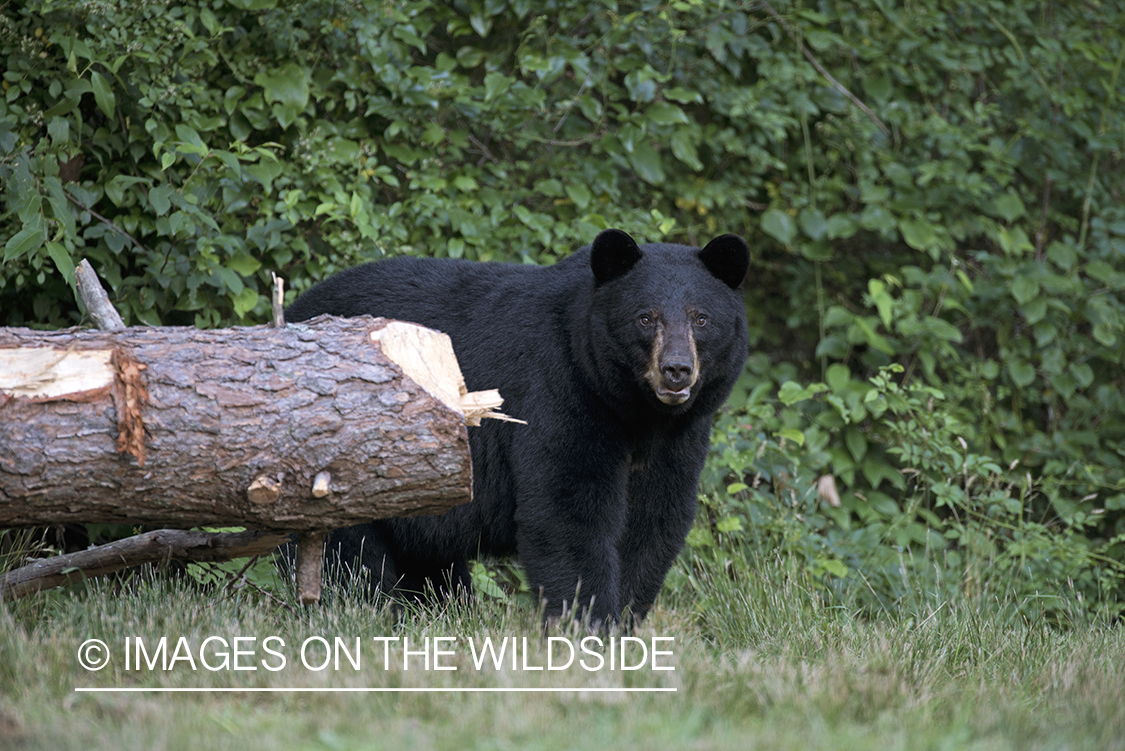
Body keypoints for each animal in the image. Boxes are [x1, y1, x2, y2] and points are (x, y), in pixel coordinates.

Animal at [283, 225, 747, 625]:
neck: (635, 412)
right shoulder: (558, 391)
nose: (676, 370)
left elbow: (651, 522)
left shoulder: (678, 438)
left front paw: (623, 623)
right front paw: (586, 625)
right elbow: (566, 511)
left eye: (701, 318)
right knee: (348, 553)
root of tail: (289, 312)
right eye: (646, 318)